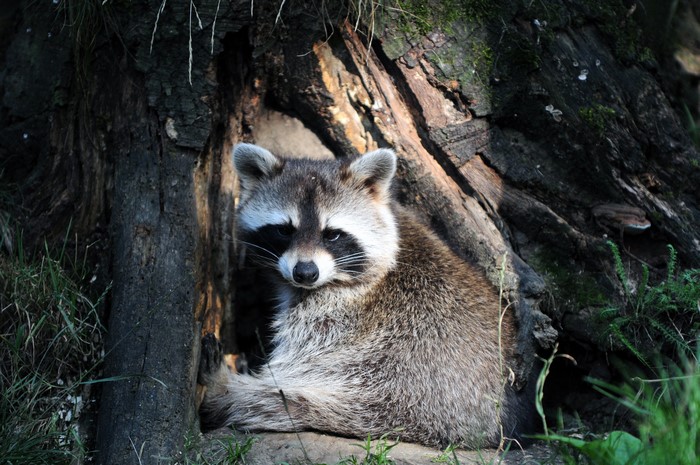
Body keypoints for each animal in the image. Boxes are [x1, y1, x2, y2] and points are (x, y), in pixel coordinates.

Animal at [198, 143, 533, 448]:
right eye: (284, 230)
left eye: (332, 234)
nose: (305, 272)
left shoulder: (336, 317)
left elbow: (289, 370)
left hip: (401, 382)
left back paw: (223, 389)